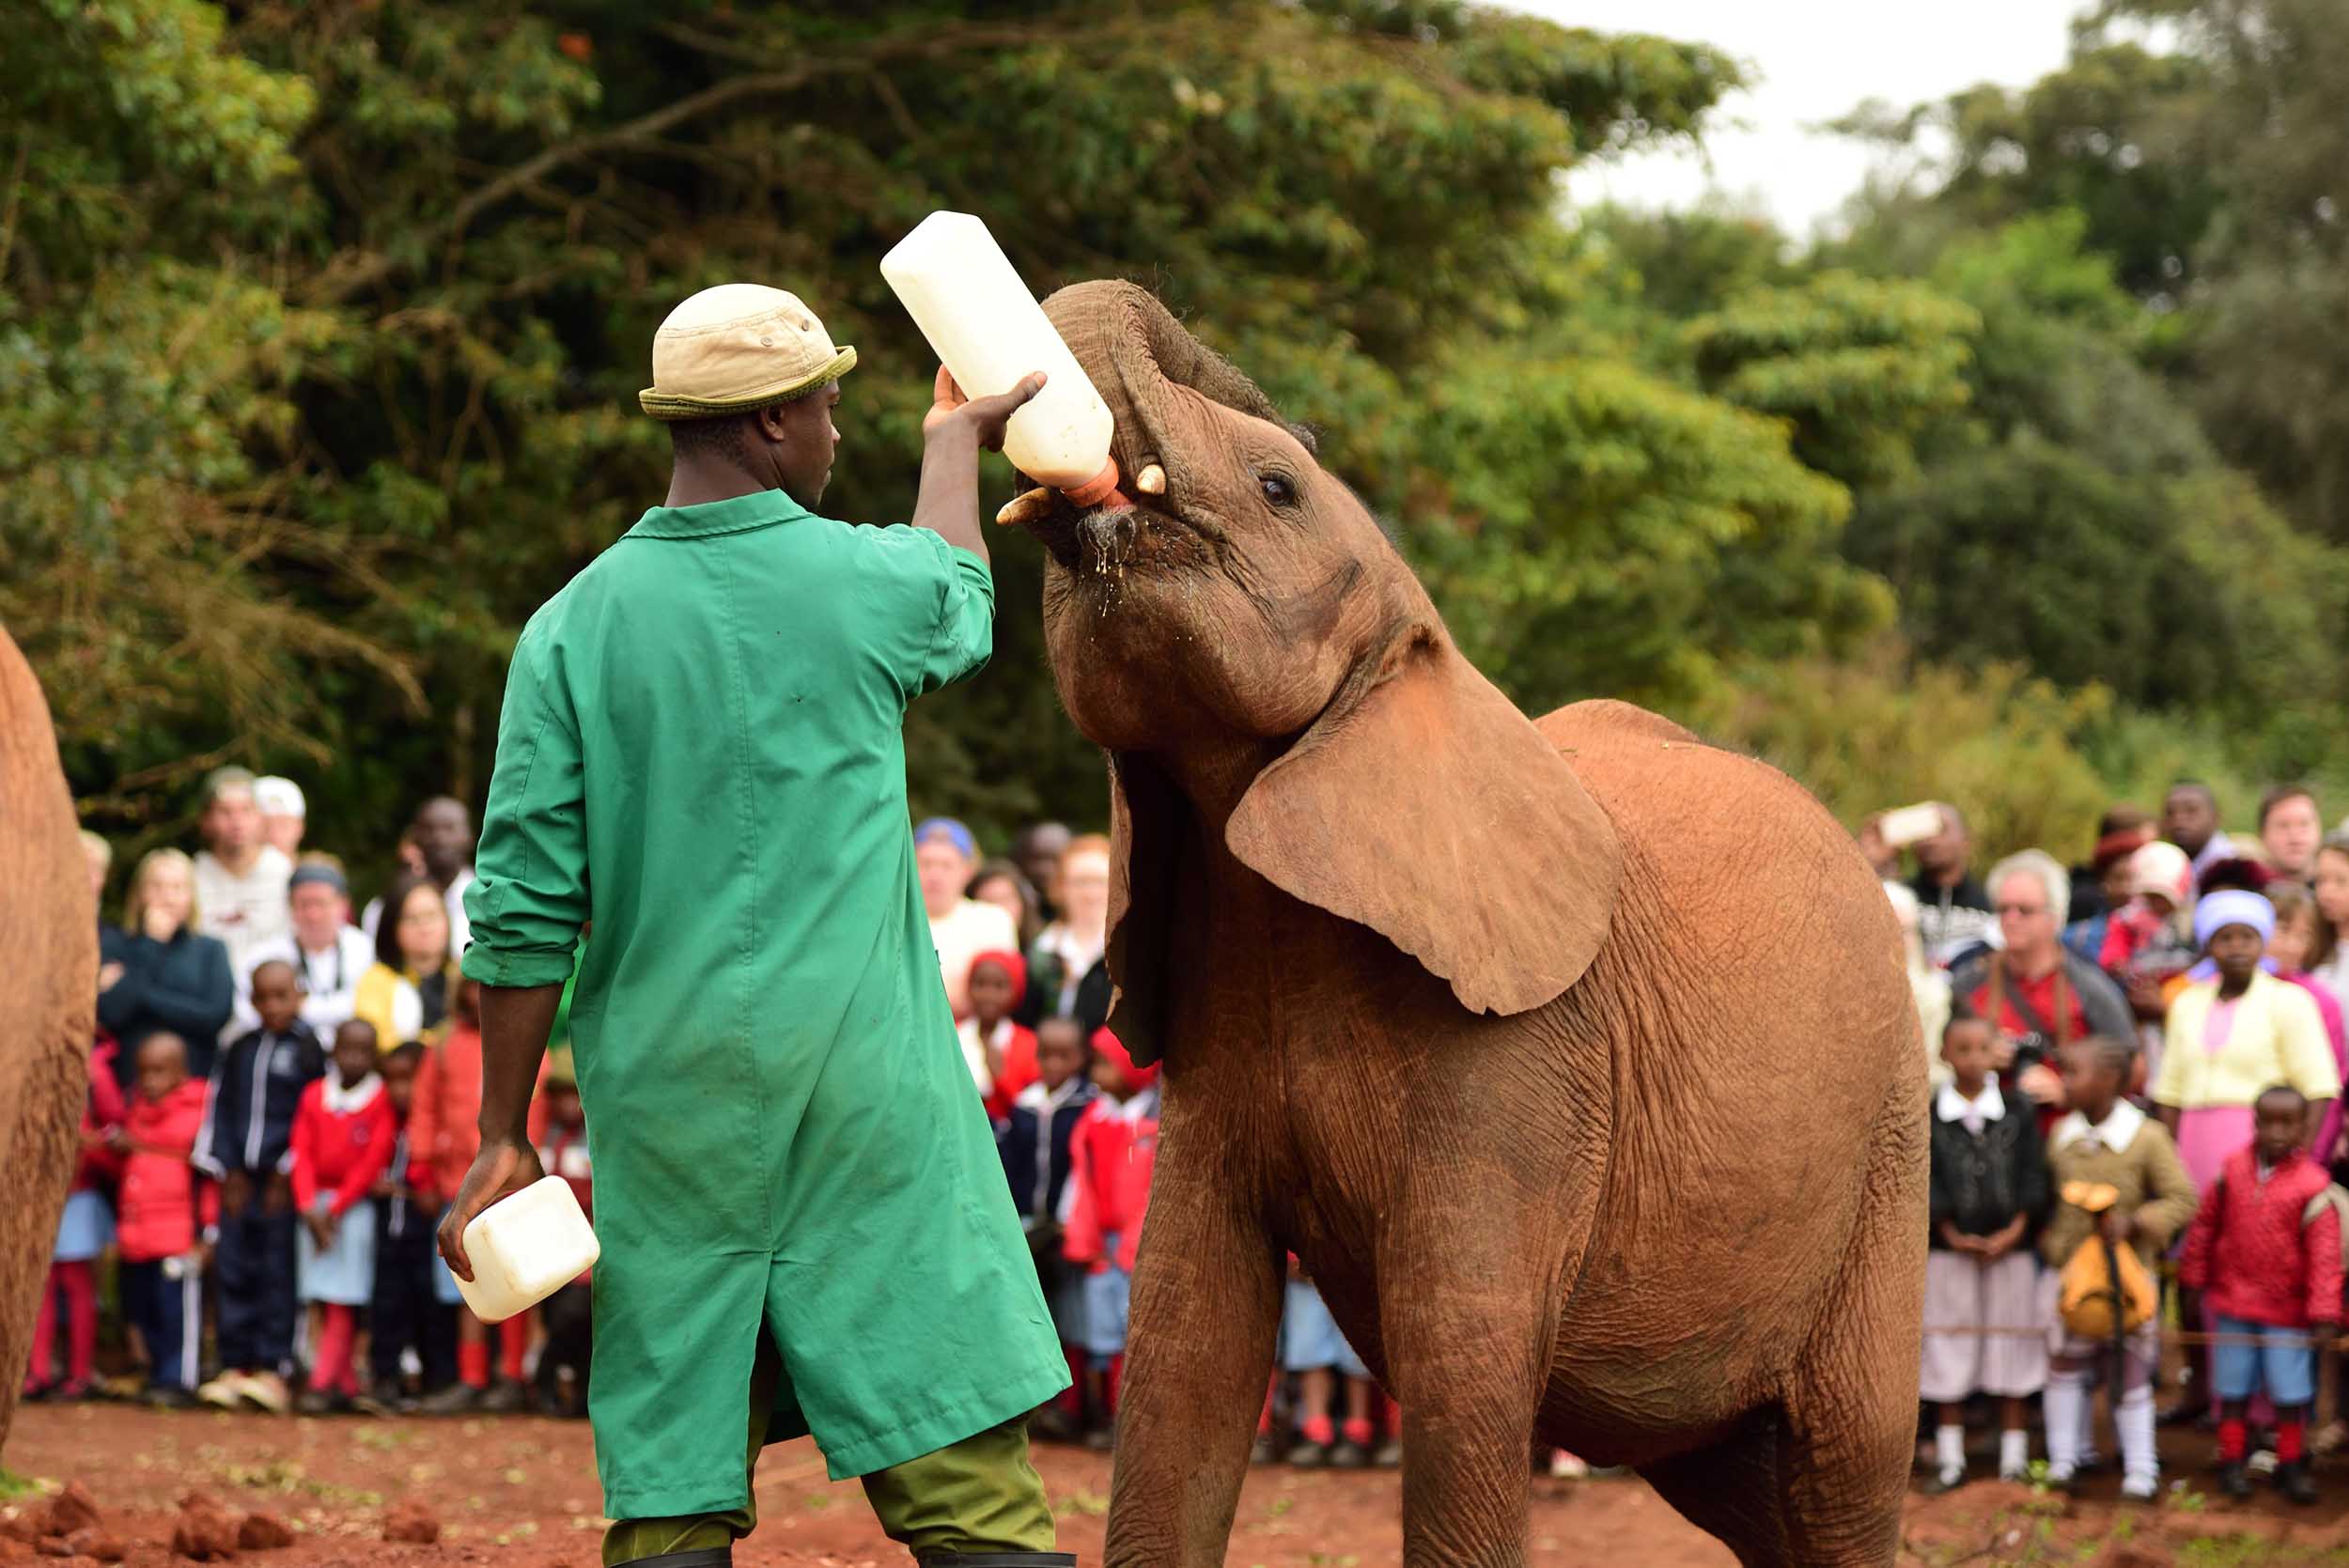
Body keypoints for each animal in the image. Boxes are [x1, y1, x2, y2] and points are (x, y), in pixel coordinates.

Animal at [1007, 281, 1928, 1567]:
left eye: (1277, 487)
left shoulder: (1528, 1065)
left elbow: (1461, 1351)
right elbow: (1187, 1335)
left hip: (1887, 1154)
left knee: (1842, 1467)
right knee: (1747, 1489)